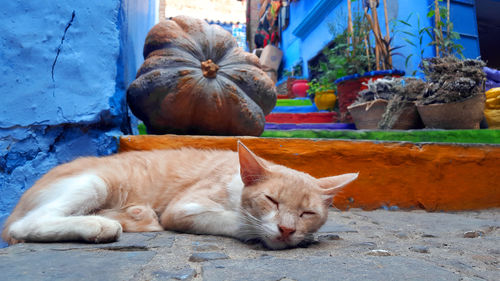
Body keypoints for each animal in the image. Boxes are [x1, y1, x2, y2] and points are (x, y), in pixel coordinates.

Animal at [1, 141, 358, 248]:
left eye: (307, 214)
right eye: (271, 201)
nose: (286, 229)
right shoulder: (183, 207)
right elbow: (237, 220)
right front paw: (259, 230)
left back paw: (133, 216)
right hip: (96, 183)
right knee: (27, 225)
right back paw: (97, 226)